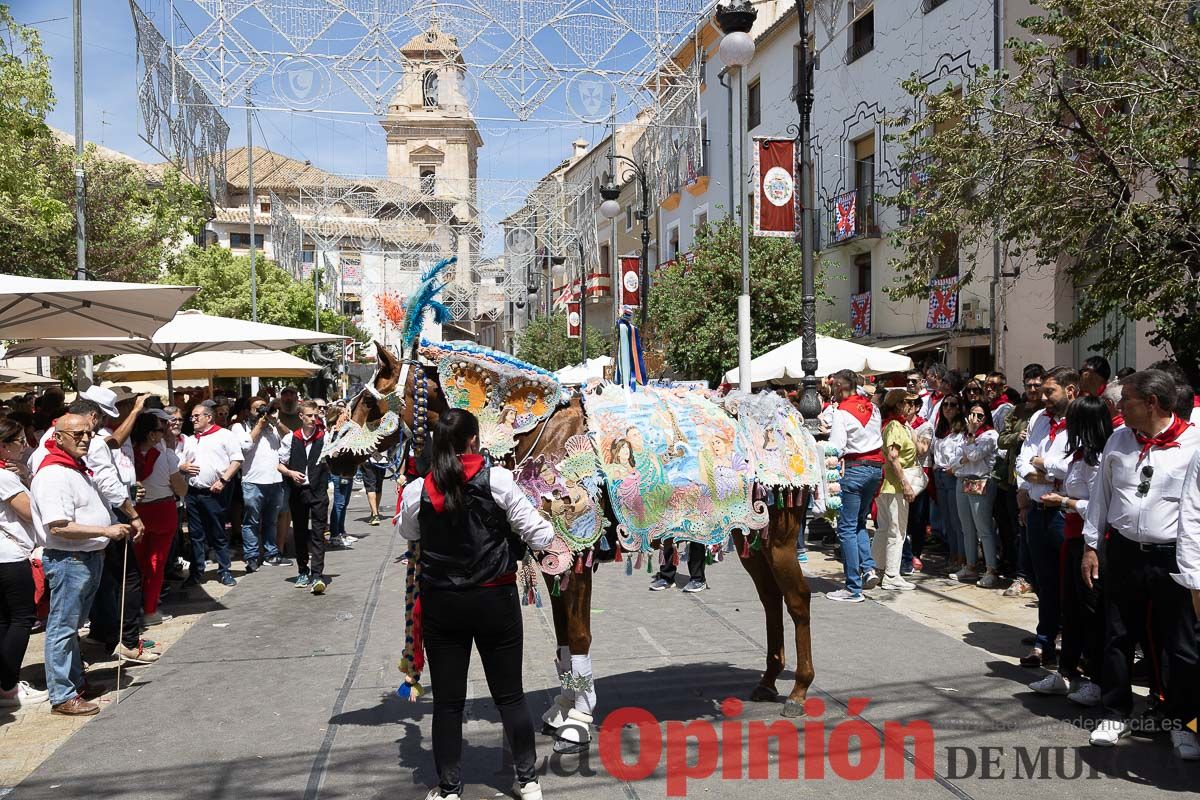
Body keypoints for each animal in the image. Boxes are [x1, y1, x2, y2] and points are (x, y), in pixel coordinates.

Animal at [319, 260, 825, 753]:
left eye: (369, 403)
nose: (330, 458)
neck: (533, 431)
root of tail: (791, 418)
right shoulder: (554, 559)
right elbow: (564, 637)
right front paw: (562, 709)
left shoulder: (575, 555)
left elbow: (579, 635)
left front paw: (578, 722)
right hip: (751, 535)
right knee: (770, 599)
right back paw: (767, 681)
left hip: (781, 536)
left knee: (797, 600)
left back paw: (799, 690)